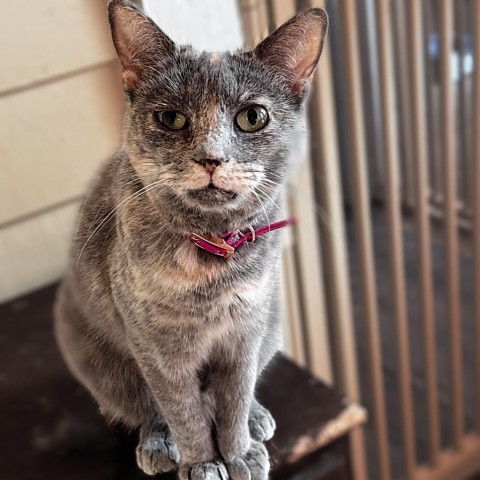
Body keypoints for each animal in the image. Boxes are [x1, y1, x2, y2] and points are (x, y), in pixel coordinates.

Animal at [54, 1, 328, 478]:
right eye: (171, 118)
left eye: (252, 117)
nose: (211, 158)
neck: (212, 253)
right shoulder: (160, 352)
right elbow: (183, 412)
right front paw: (203, 462)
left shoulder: (244, 335)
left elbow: (234, 400)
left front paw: (238, 453)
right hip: (92, 352)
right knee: (144, 407)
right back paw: (157, 443)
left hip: (273, 326)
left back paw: (257, 420)